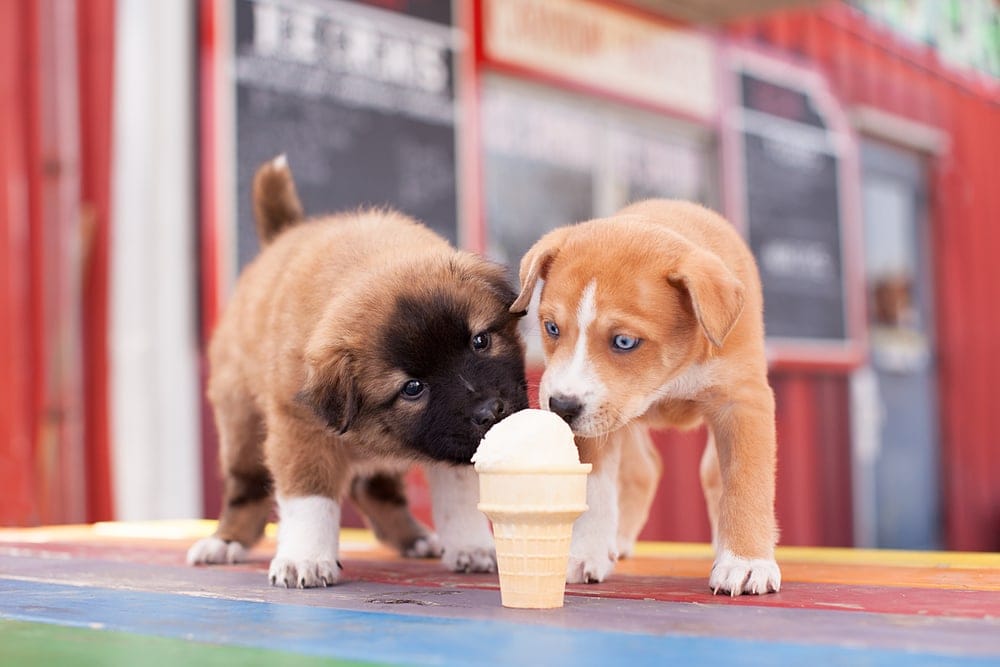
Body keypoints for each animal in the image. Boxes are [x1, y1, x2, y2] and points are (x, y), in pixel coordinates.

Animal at [189, 158, 532, 588]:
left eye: (480, 341)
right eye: (412, 388)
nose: (491, 411)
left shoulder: (456, 443)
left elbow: (459, 497)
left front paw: (470, 545)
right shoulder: (301, 431)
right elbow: (309, 499)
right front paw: (305, 558)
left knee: (375, 489)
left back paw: (414, 538)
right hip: (241, 424)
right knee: (245, 489)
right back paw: (225, 542)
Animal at [516, 198, 780, 596]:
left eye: (625, 341)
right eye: (551, 328)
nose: (560, 407)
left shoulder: (743, 402)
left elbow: (745, 482)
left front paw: (746, 562)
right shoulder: (596, 420)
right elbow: (594, 489)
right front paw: (584, 553)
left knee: (709, 474)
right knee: (643, 470)